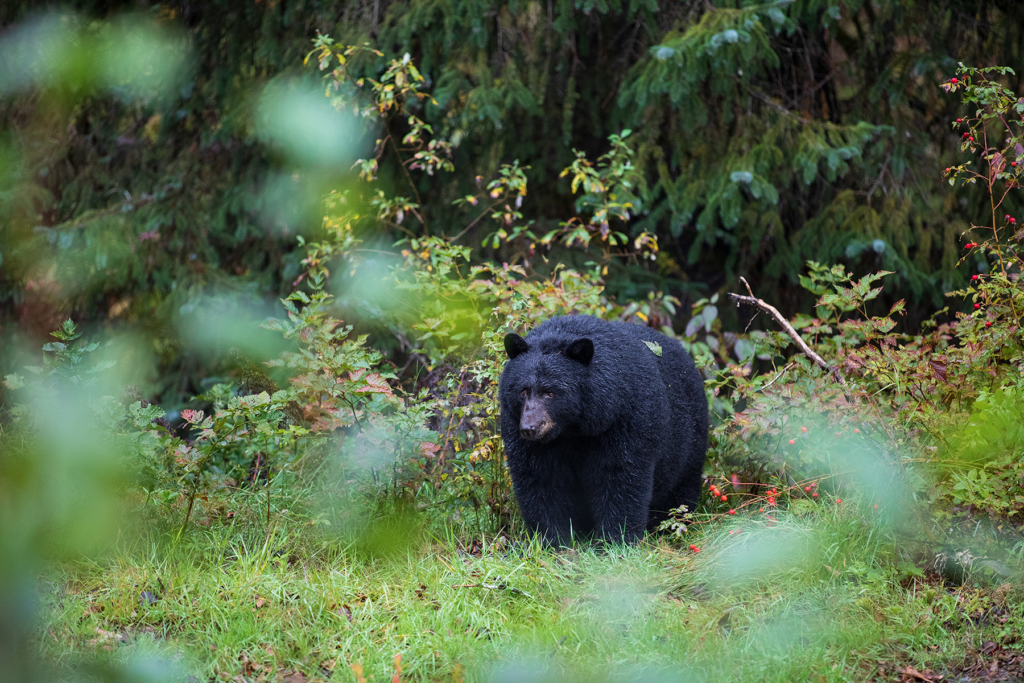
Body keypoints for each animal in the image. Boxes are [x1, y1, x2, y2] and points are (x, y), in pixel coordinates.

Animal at [499, 314, 708, 545]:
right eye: (523, 391)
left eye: (550, 392)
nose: (529, 428)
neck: (573, 430)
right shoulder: (523, 433)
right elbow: (540, 480)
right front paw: (551, 540)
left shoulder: (625, 420)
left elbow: (621, 476)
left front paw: (617, 540)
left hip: (689, 442)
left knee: (682, 485)